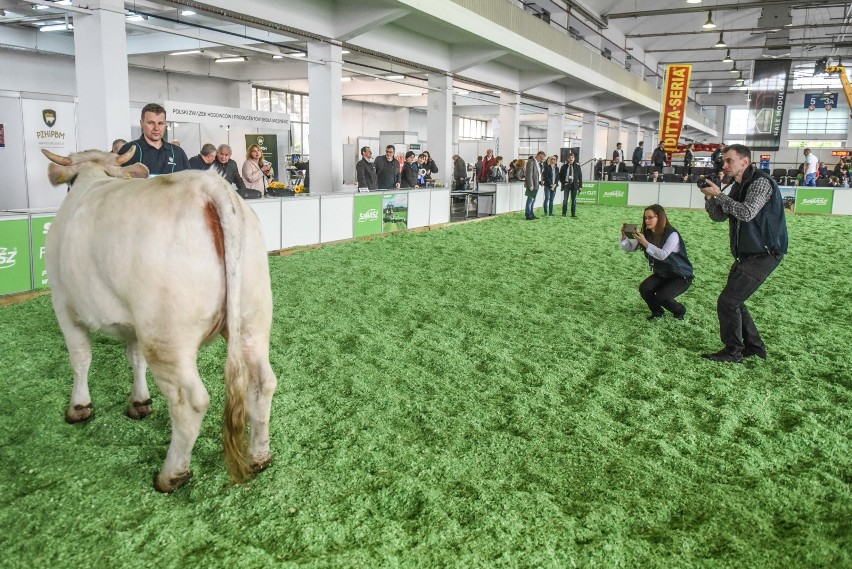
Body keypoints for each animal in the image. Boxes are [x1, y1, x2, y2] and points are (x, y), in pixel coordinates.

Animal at [43, 149, 278, 490]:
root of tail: (210, 186)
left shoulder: (62, 302)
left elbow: (80, 357)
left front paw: (79, 406)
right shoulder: (132, 322)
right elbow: (134, 358)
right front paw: (140, 401)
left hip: (167, 336)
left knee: (191, 401)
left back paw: (172, 474)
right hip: (252, 317)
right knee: (263, 382)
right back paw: (259, 455)